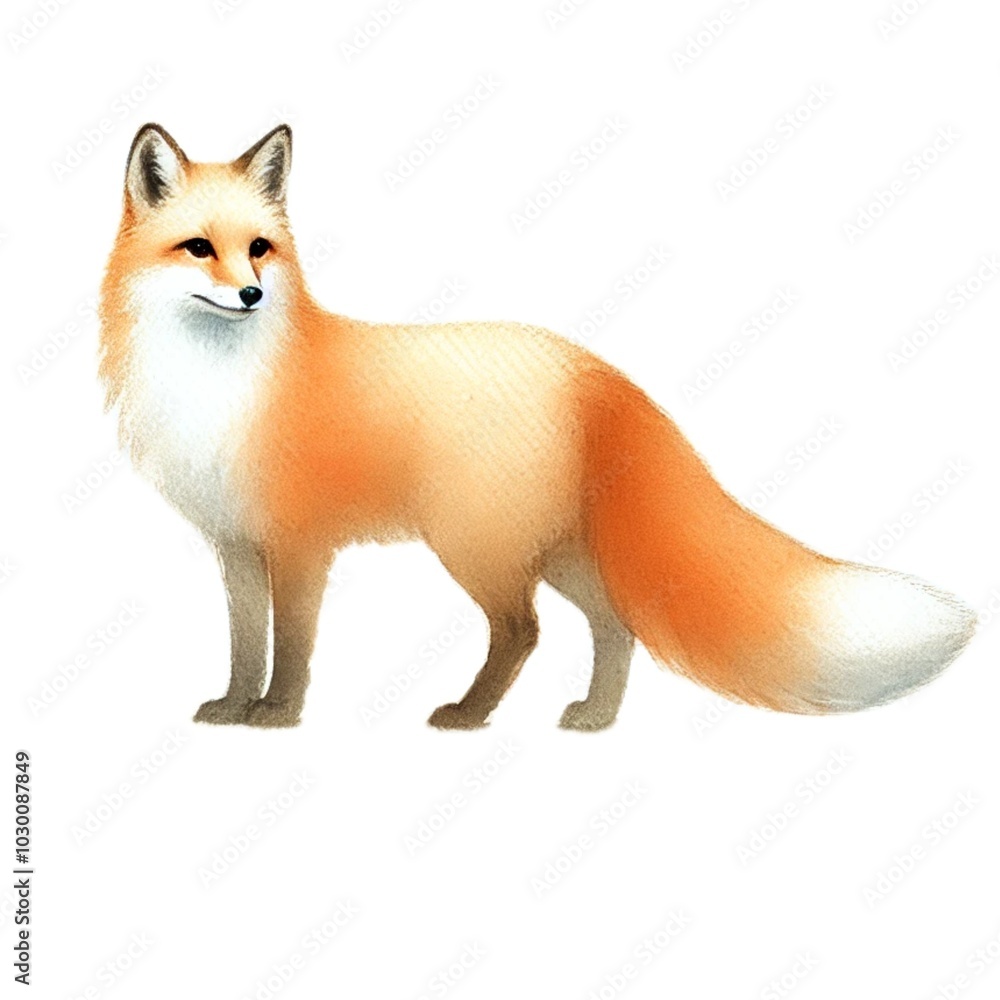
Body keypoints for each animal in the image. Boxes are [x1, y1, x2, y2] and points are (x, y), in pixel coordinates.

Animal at [99, 122, 976, 731]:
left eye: (260, 250)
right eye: (200, 248)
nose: (251, 295)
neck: (226, 382)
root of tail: (589, 367)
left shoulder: (300, 545)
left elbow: (293, 648)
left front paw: (278, 715)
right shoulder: (238, 546)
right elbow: (247, 643)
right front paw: (232, 707)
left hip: (478, 547)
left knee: (523, 631)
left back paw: (469, 715)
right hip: (552, 552)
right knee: (614, 626)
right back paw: (595, 718)